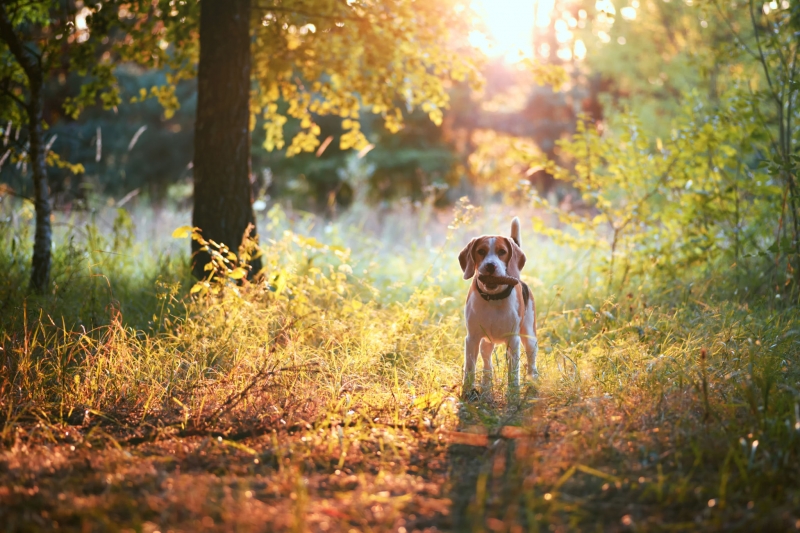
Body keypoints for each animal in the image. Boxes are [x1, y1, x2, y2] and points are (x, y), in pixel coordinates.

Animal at [456, 217, 536, 394]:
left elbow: (513, 371)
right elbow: (470, 368)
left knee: (531, 360)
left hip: (529, 336)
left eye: (502, 252)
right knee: (487, 362)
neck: (493, 299)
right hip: (485, 343)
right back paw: (486, 383)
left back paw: (533, 381)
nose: (490, 265)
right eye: (481, 251)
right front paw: (467, 392)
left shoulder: (514, 340)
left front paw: (513, 394)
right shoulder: (472, 338)